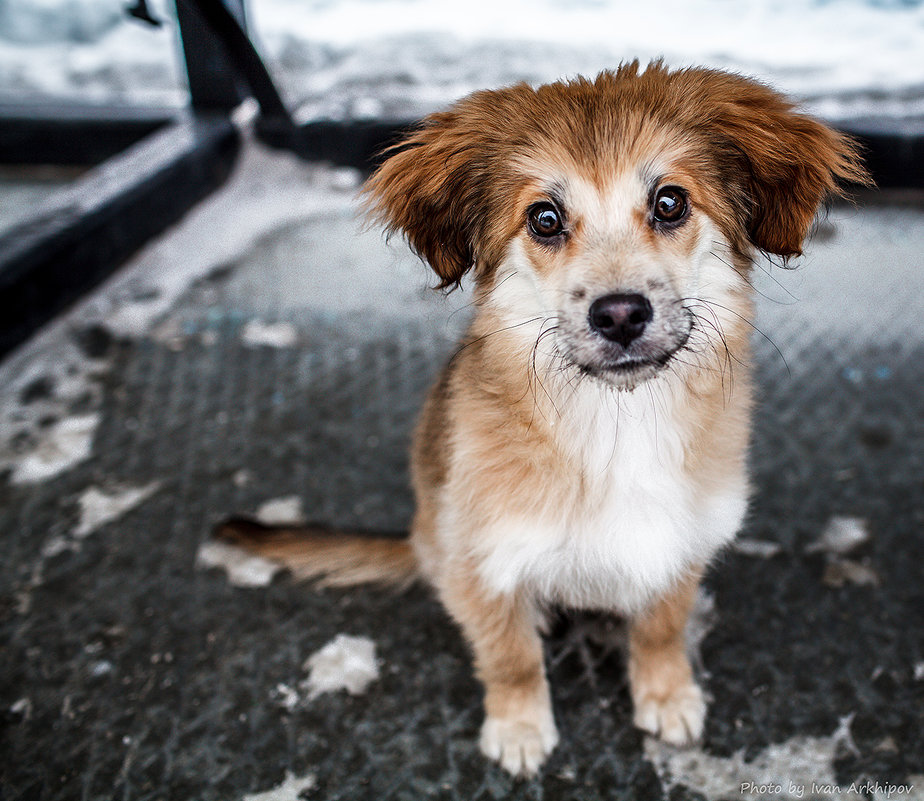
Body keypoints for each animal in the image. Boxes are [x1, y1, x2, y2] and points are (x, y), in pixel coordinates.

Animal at [220, 62, 868, 776]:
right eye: (546, 218)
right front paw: (520, 726)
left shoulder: (682, 543)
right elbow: (510, 657)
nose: (619, 314)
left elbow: (662, 628)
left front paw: (667, 694)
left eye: (670, 203)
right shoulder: (480, 562)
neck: (619, 423)